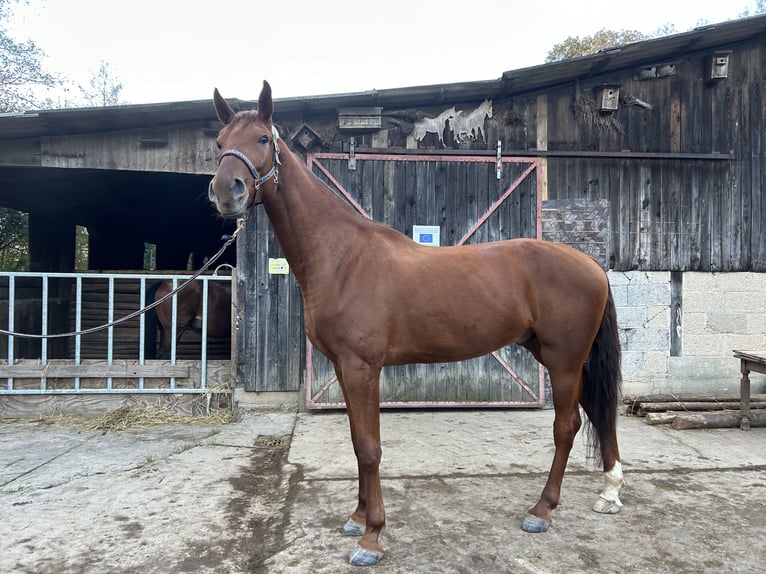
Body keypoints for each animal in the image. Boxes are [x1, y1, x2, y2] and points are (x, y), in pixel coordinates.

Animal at [208, 82, 624, 572]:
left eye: (262, 139)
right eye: (219, 143)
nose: (226, 191)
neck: (342, 256)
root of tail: (591, 265)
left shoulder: (362, 367)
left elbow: (370, 447)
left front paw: (372, 537)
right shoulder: (345, 369)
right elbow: (357, 441)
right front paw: (357, 518)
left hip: (563, 359)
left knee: (567, 425)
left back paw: (541, 510)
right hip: (557, 355)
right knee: (597, 411)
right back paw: (610, 492)